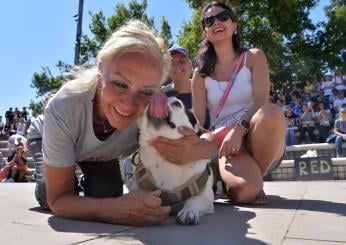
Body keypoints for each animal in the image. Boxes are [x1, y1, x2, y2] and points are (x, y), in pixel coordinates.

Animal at [127, 94, 214, 226]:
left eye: (177, 104)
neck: (164, 159)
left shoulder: (206, 197)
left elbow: (194, 200)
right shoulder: (136, 187)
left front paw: (188, 212)